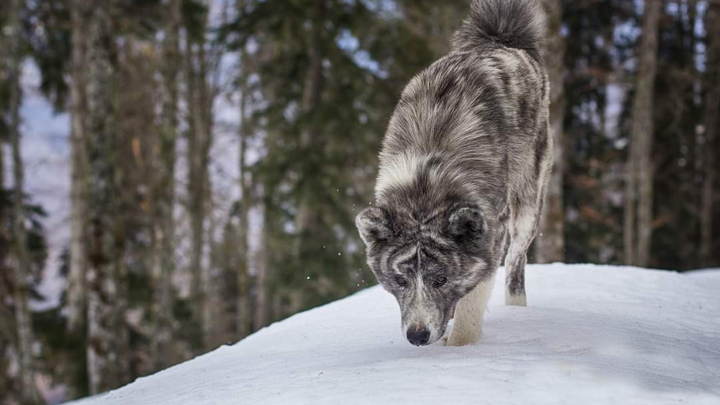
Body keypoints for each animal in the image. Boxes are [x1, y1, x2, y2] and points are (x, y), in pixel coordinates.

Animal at [354, 0, 552, 348]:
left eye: (441, 278)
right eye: (400, 280)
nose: (417, 336)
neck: (426, 182)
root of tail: (500, 41)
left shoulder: (491, 238)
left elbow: (471, 304)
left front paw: (460, 348)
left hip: (527, 204)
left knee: (516, 262)